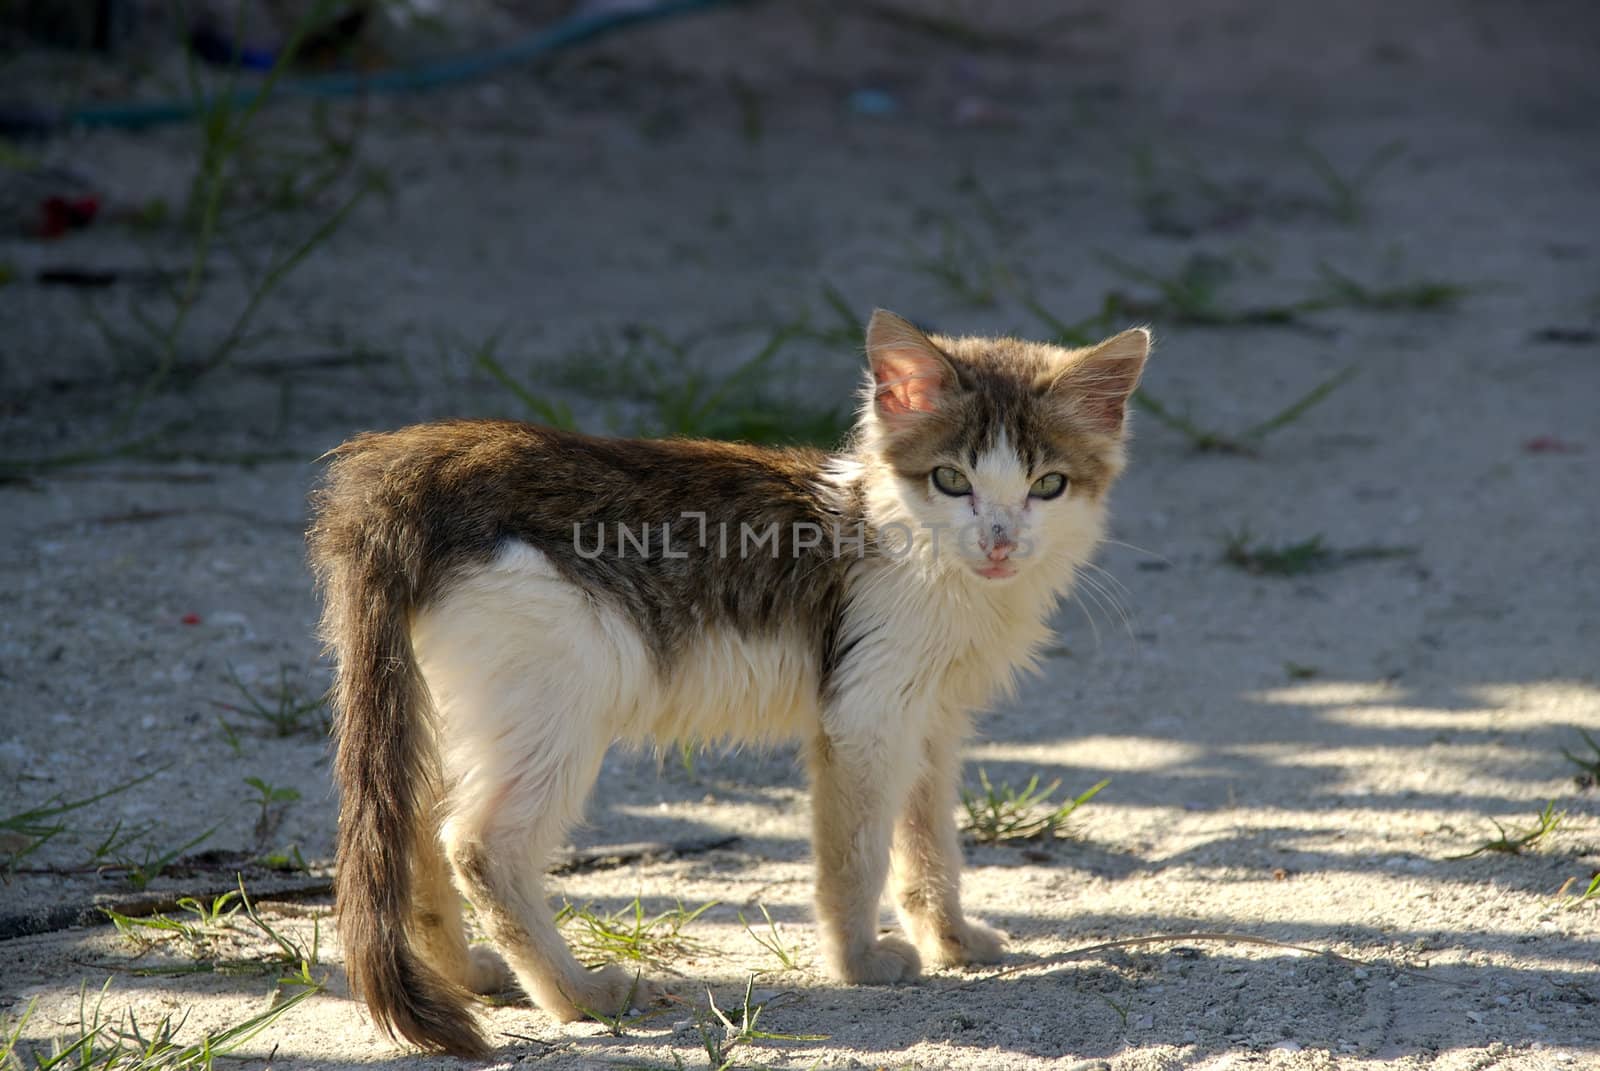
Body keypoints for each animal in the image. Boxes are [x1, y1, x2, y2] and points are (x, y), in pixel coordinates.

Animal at [302, 308, 1152, 1050]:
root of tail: (420, 459)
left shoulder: (930, 721)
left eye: (1047, 485)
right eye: (950, 479)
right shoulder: (866, 715)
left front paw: (950, 938)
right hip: (559, 696)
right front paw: (860, 962)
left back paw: (468, 972)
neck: (903, 537)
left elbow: (928, 847)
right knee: (481, 845)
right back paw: (582, 995)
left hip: (461, 703)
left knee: (411, 824)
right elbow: (857, 855)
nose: (1000, 540)